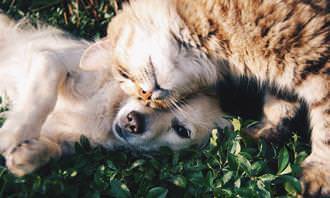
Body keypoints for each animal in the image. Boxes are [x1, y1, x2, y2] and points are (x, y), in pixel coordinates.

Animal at [0, 15, 232, 176]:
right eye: (144, 93)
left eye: (182, 131)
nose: (134, 122)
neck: (106, 112)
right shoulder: (48, 58)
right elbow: (44, 90)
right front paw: (13, 134)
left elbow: (56, 149)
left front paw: (28, 155)